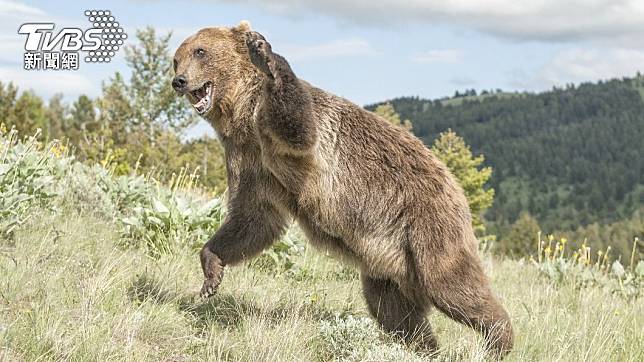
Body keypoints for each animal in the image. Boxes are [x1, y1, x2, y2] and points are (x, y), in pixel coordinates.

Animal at [171, 21, 512, 358]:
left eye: (200, 51)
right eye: (177, 58)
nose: (179, 80)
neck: (242, 114)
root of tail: (454, 183)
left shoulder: (292, 136)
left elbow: (298, 128)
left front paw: (265, 55)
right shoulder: (250, 160)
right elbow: (253, 218)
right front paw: (211, 271)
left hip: (427, 224)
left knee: (450, 284)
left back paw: (499, 338)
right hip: (389, 260)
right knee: (393, 309)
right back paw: (422, 347)